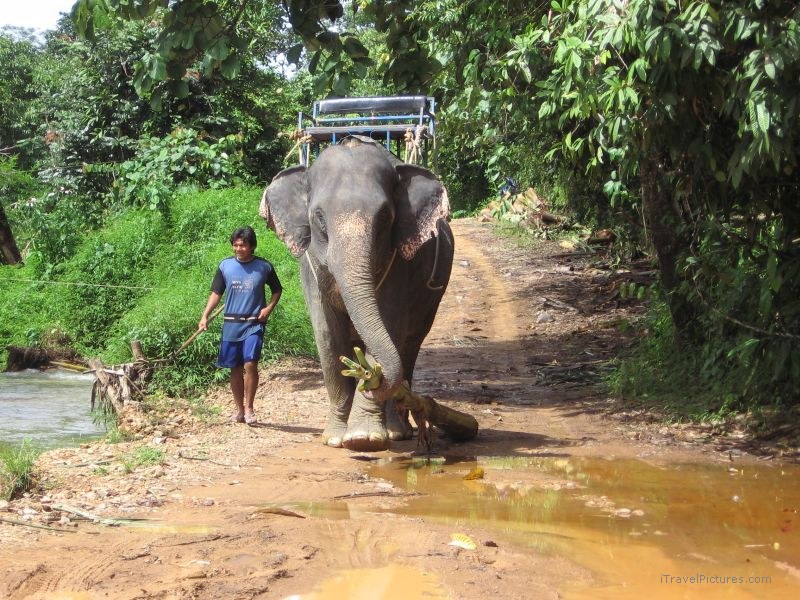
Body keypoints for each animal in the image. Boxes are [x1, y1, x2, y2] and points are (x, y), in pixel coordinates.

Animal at [260, 135, 453, 452]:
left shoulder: (400, 264)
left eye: (385, 217)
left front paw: (365, 438)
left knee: (409, 346)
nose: (369, 377)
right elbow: (327, 335)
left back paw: (397, 431)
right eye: (319, 217)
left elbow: (389, 325)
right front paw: (335, 438)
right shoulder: (310, 266)